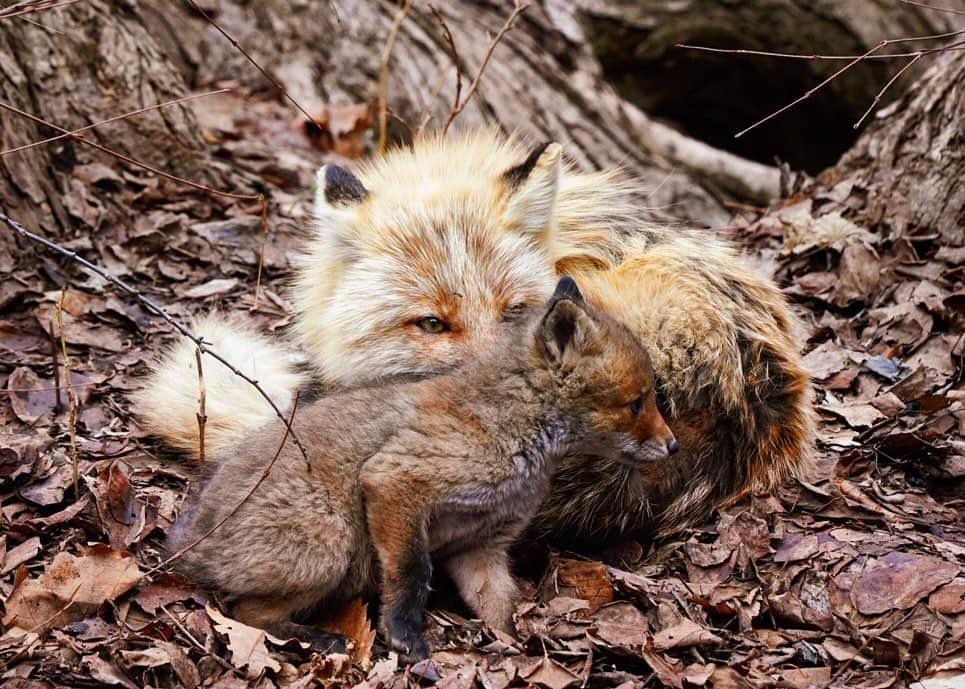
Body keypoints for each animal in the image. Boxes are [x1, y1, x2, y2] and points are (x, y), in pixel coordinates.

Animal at [167, 277, 676, 661]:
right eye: (636, 403)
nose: (673, 446)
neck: (512, 428)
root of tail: (192, 542)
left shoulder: (481, 546)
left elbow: (502, 607)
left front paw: (515, 647)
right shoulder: (394, 480)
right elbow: (412, 573)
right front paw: (405, 635)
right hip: (331, 545)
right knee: (245, 612)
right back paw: (317, 638)